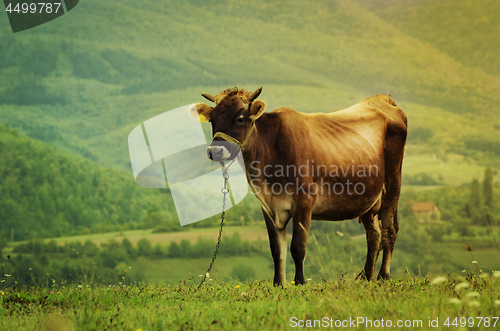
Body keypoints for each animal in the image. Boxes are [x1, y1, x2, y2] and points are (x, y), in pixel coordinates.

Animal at [191, 87, 406, 286]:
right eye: (212, 120)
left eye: (240, 119)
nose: (216, 151)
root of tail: (382, 99)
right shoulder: (268, 205)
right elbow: (277, 249)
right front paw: (278, 283)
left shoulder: (304, 201)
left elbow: (297, 247)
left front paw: (300, 282)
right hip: (370, 199)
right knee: (373, 236)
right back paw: (367, 278)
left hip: (393, 182)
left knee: (389, 231)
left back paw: (383, 276)